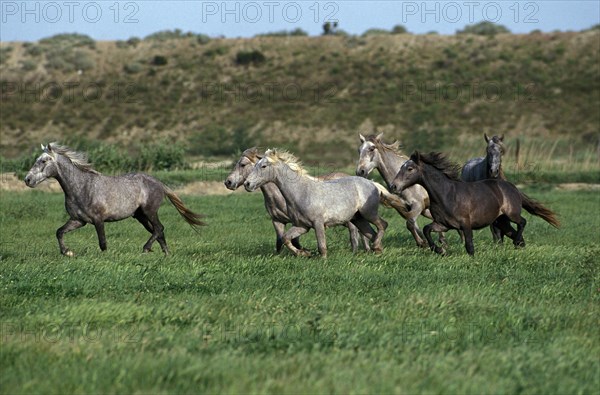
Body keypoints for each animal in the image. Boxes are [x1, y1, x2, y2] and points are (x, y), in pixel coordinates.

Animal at [24, 144, 204, 255]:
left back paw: (146, 249)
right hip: (140, 216)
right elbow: (59, 232)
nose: (27, 180)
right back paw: (165, 254)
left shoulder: (98, 220)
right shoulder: (78, 220)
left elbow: (103, 243)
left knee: (159, 228)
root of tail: (159, 183)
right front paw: (67, 252)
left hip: (150, 211)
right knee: (157, 231)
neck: (81, 187)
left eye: (44, 160)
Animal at [392, 152, 560, 256]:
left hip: (511, 214)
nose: (393, 186)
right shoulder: (444, 224)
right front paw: (440, 250)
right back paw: (519, 245)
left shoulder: (466, 224)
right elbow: (427, 229)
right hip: (501, 221)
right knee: (514, 233)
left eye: (410, 168)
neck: (447, 194)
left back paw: (517, 241)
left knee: (522, 222)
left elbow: (469, 246)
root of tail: (513, 187)